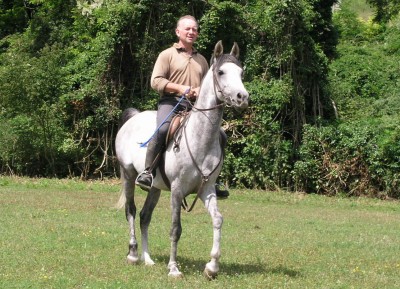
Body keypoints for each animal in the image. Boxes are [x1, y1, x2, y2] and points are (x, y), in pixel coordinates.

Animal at [114, 40, 248, 276]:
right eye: (221, 72)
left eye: (241, 72)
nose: (243, 97)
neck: (200, 139)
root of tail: (133, 117)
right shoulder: (176, 191)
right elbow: (175, 228)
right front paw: (174, 268)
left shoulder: (206, 189)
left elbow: (218, 220)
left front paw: (212, 267)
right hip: (128, 175)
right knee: (131, 211)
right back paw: (133, 254)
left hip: (155, 187)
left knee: (145, 216)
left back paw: (148, 259)